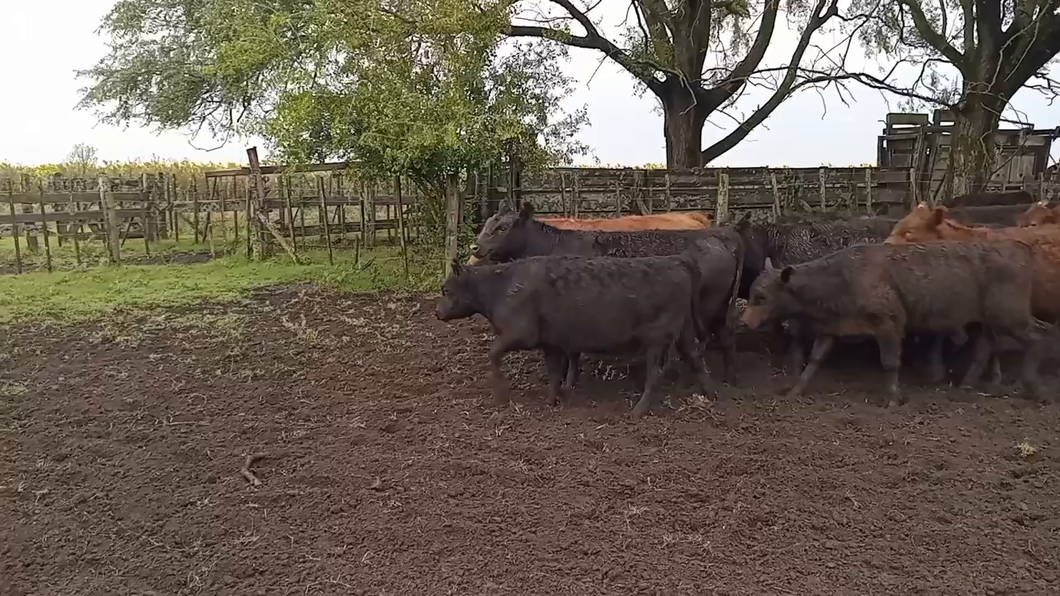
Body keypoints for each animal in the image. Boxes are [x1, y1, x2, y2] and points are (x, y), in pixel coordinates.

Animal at [430, 252, 712, 415]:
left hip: (658, 338)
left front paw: (500, 394)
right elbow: (554, 371)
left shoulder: (521, 333)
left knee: (656, 373)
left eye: (446, 289)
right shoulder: (550, 342)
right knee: (696, 357)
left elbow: (494, 351)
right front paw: (552, 400)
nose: (437, 312)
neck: (501, 289)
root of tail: (678, 261)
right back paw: (710, 395)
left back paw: (637, 411)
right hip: (684, 331)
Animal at [472, 201, 746, 381]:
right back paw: (729, 376)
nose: (475, 247)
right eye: (488, 223)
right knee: (725, 335)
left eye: (502, 228)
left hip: (708, 307)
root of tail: (720, 237)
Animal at [741, 239, 1047, 402]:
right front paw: (795, 389)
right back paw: (966, 386)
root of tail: (1019, 248)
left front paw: (892, 397)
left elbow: (889, 362)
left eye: (762, 297)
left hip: (1011, 316)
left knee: (1035, 339)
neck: (843, 278)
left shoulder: (889, 324)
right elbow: (815, 360)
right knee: (984, 348)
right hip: (982, 321)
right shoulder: (832, 327)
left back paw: (1033, 386)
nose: (743, 322)